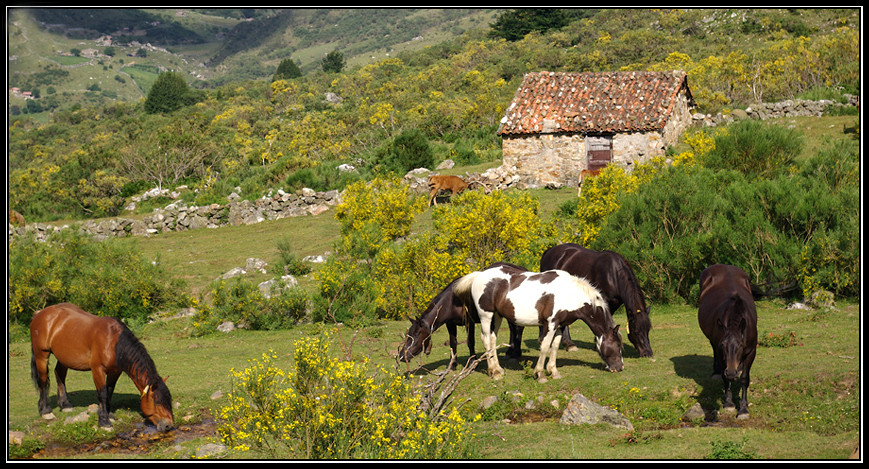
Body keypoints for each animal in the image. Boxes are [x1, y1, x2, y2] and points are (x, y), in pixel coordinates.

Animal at [29, 302, 175, 430]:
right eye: (157, 402)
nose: (168, 426)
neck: (113, 342)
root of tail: (40, 313)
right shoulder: (98, 370)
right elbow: (103, 393)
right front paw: (104, 422)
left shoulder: (115, 371)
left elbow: (109, 391)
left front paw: (108, 415)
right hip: (42, 355)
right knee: (43, 380)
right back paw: (46, 411)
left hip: (64, 357)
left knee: (59, 374)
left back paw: (65, 405)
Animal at [512, 243, 648, 356]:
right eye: (636, 330)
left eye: (648, 328)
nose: (647, 353)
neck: (613, 273)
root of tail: (549, 251)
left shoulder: (614, 303)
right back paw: (561, 342)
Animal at [696, 264, 756, 420]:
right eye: (723, 345)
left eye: (740, 345)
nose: (731, 372)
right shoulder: (720, 349)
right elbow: (725, 378)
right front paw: (729, 403)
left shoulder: (751, 352)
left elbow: (744, 379)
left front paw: (743, 409)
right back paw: (716, 372)